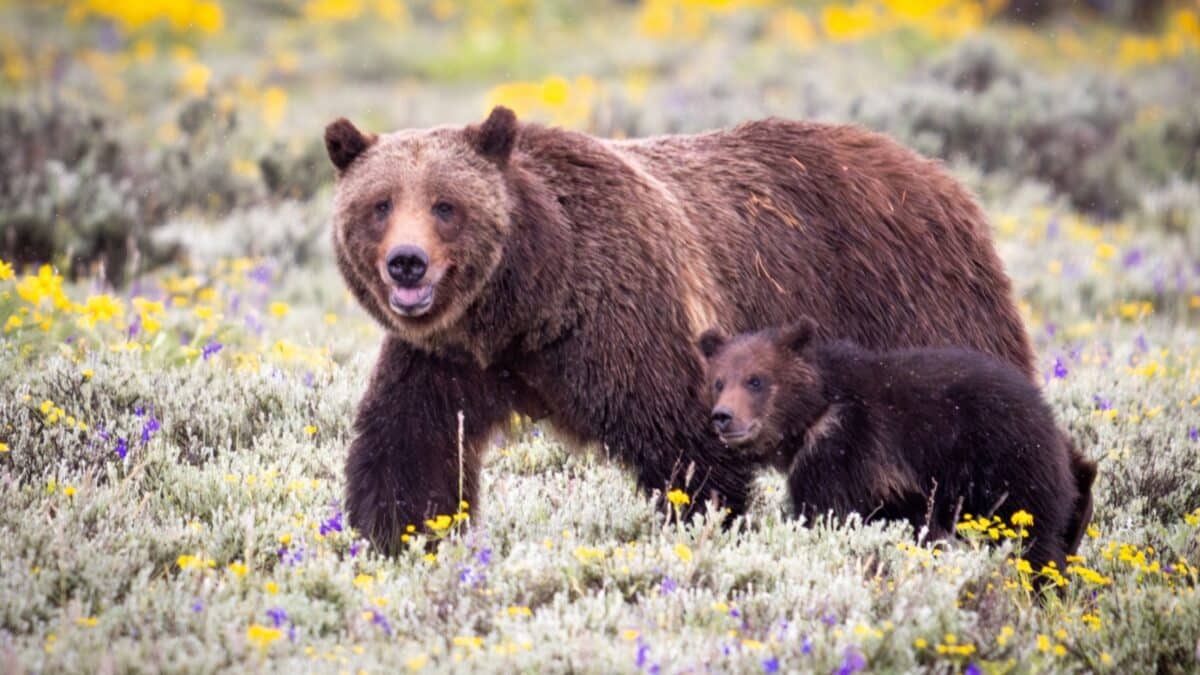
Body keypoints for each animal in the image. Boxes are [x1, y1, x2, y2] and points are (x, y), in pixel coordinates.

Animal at [324, 103, 1036, 547]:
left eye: (446, 205)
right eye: (380, 204)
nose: (407, 262)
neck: (529, 304)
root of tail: (943, 176)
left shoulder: (633, 322)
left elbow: (689, 453)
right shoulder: (446, 359)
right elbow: (409, 451)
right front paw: (398, 537)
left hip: (916, 309)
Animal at [696, 317, 1099, 569]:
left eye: (755, 380)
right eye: (719, 381)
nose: (723, 417)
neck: (816, 410)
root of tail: (1047, 414)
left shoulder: (848, 449)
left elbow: (827, 512)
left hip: (1008, 463)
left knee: (1033, 537)